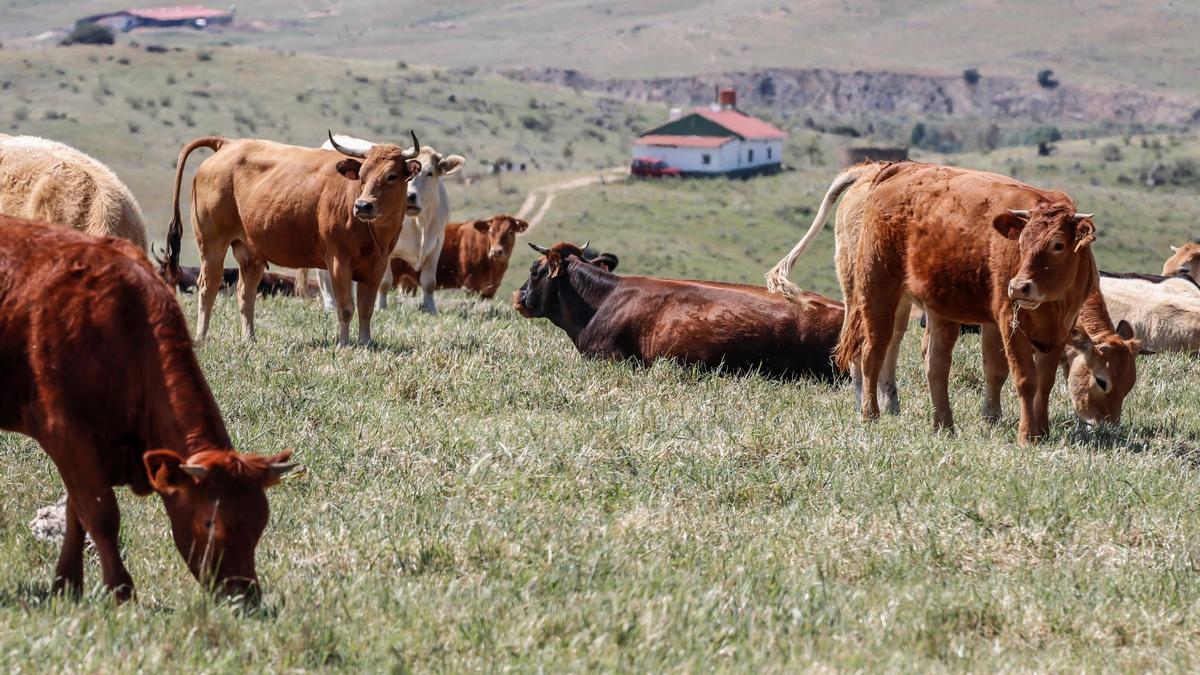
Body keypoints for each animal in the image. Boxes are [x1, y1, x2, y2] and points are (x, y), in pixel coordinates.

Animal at [0, 215, 297, 602]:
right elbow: (100, 513)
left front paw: (67, 585)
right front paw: (120, 590)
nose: (243, 595)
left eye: (260, 521)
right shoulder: (65, 433)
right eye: (209, 522)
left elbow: (77, 514)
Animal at [163, 132, 421, 346]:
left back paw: (250, 339)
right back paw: (201, 336)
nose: (363, 205)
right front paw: (344, 344)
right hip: (211, 246)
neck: (373, 234)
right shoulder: (338, 262)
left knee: (245, 294)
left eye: (391, 176)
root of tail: (227, 144)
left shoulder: (377, 266)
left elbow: (366, 309)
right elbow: (346, 307)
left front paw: (366, 343)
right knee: (208, 287)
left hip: (250, 254)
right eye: (362, 175)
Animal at [311, 134, 465, 313]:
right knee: (324, 275)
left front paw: (431, 309)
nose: (410, 196)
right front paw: (381, 307)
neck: (419, 224)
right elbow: (384, 282)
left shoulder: (437, 244)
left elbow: (429, 282)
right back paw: (330, 305)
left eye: (430, 173)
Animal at [390, 215, 529, 299]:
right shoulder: (470, 285)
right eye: (490, 232)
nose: (496, 251)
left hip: (407, 281)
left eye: (510, 232)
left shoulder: (490, 289)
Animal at [768, 161, 1125, 445]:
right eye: (1022, 242)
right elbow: (1024, 379)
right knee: (871, 352)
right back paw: (871, 413)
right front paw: (1026, 436)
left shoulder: (1055, 331)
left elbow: (1041, 382)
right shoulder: (1009, 322)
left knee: (933, 363)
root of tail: (887, 171)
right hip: (874, 293)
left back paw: (942, 424)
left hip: (934, 310)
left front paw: (1041, 429)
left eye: (1058, 244)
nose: (1019, 286)